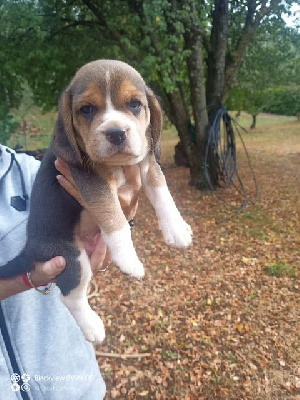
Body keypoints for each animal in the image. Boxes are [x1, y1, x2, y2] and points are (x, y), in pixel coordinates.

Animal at [1, 60, 192, 344]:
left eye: (135, 104)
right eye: (87, 109)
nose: (116, 133)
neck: (118, 164)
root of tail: (30, 248)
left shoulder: (147, 163)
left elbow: (163, 194)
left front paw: (177, 229)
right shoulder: (91, 182)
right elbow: (115, 219)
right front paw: (128, 259)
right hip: (71, 258)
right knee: (70, 297)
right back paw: (93, 327)